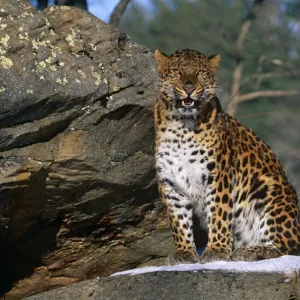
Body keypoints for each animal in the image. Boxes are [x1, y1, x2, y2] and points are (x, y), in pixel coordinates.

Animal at [154, 48, 300, 264]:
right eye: (177, 72)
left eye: (200, 73)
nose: (189, 87)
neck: (182, 126)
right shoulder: (169, 180)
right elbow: (178, 220)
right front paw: (184, 252)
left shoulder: (217, 174)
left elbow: (219, 212)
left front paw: (217, 250)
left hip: (268, 187)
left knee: (289, 248)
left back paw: (249, 251)